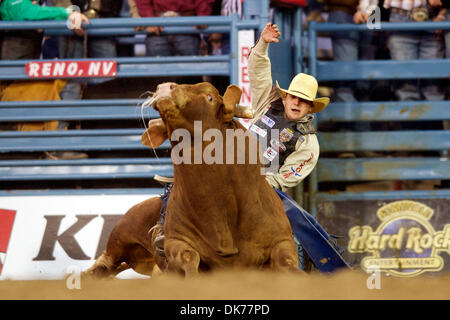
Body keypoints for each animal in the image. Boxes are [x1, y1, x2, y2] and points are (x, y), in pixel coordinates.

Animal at [86, 82, 300, 278]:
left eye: (210, 96)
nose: (166, 87)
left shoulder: (282, 241)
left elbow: (288, 262)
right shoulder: (176, 241)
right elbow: (189, 257)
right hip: (121, 236)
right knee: (106, 262)